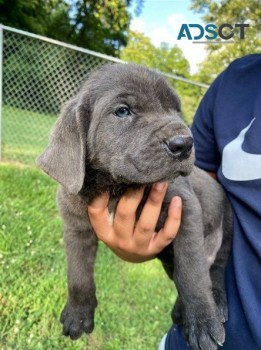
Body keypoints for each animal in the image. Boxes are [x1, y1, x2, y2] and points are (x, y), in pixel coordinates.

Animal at [36, 63, 230, 350]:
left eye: (176, 110)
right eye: (122, 111)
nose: (184, 143)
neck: (116, 187)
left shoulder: (185, 210)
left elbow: (192, 272)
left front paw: (203, 320)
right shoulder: (75, 228)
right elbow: (78, 273)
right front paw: (78, 314)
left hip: (226, 224)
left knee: (214, 268)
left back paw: (214, 303)